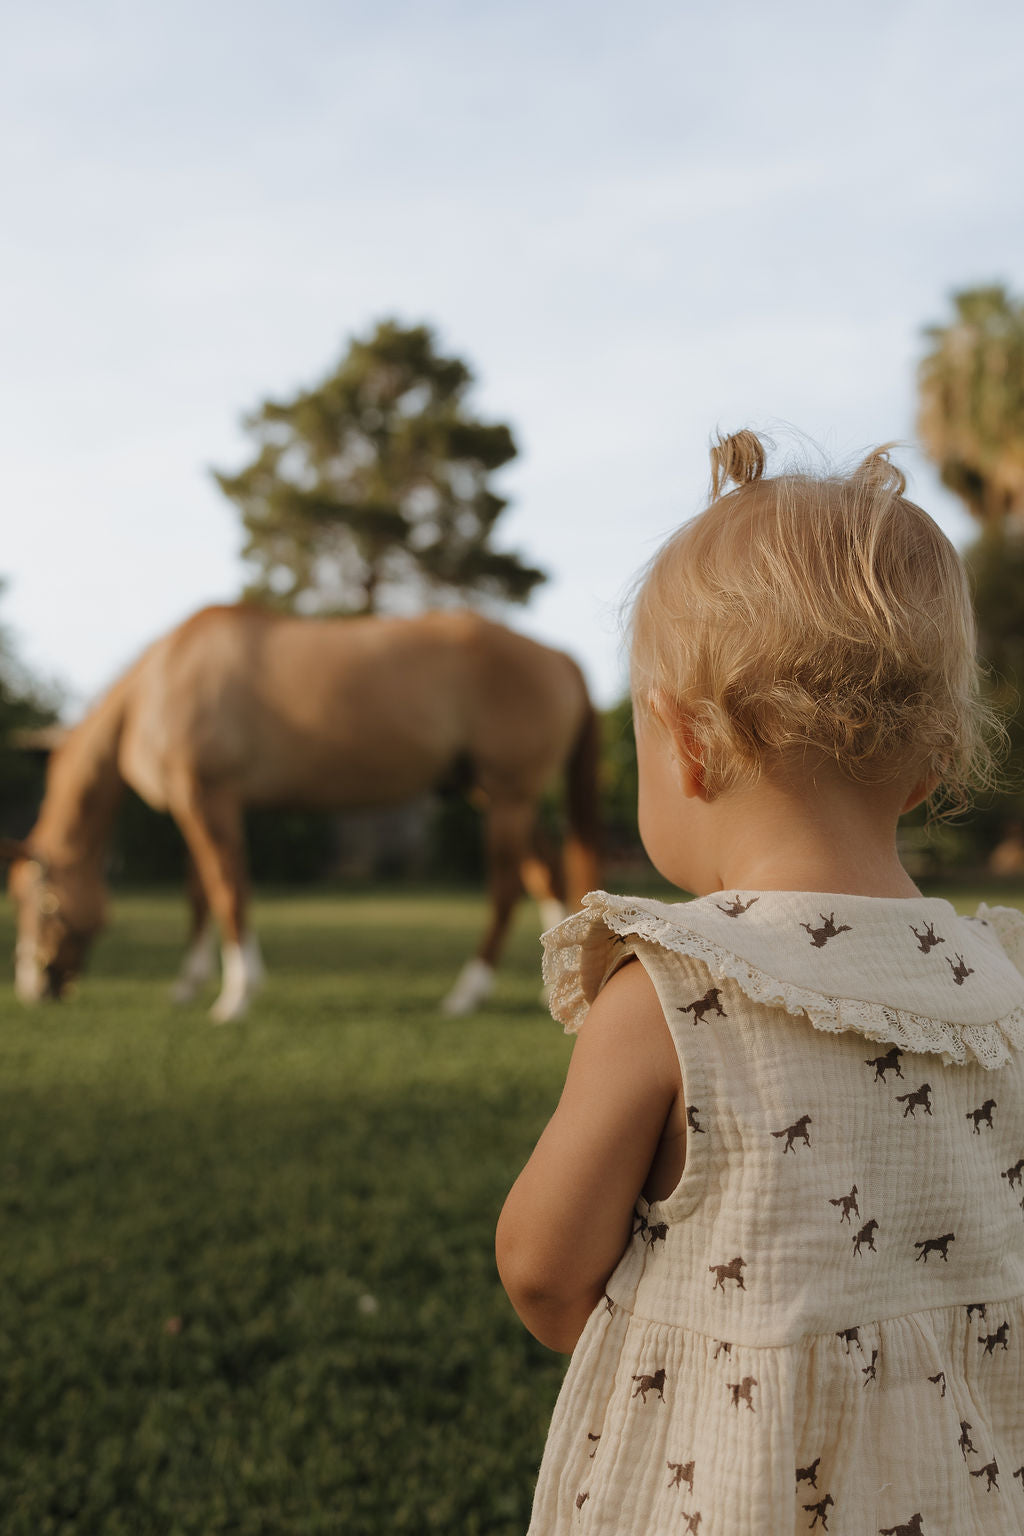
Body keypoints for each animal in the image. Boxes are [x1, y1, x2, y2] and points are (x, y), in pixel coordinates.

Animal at [3, 605, 601, 1020]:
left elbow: (228, 890)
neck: (160, 684)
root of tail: (557, 656)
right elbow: (200, 894)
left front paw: (236, 996)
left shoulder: (209, 798)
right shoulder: (195, 802)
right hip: (497, 794)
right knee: (545, 870)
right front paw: (188, 985)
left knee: (505, 889)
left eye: (38, 901)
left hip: (508, 795)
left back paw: (465, 995)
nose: (33, 989)